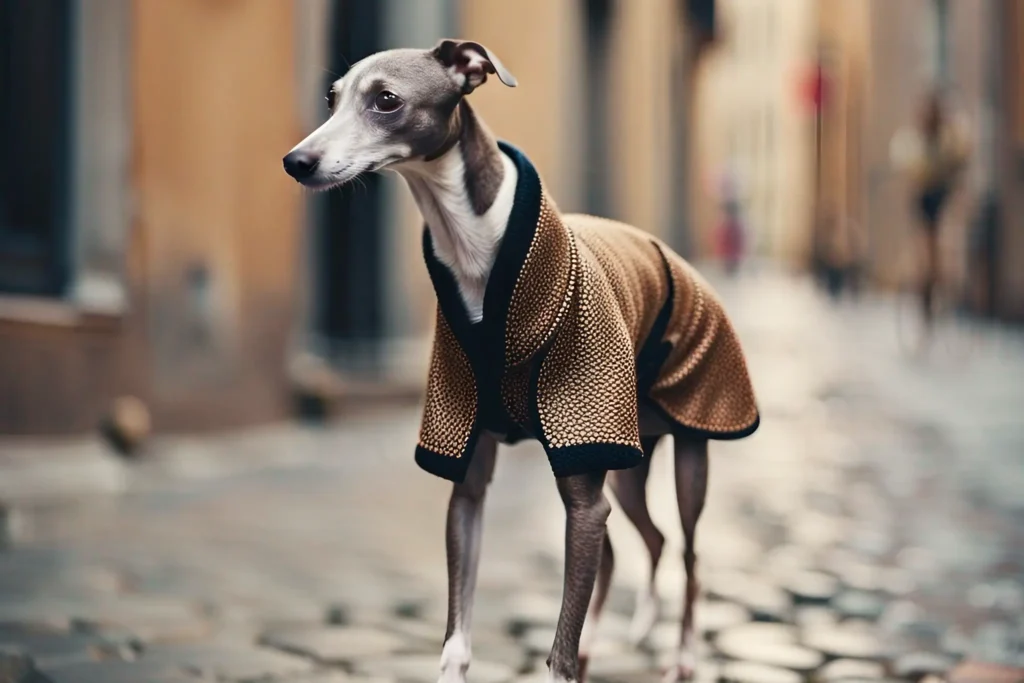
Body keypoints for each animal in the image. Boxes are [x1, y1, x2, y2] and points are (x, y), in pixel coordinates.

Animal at [282, 40, 761, 679]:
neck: (477, 254)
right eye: (331, 98)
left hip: (687, 452)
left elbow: (558, 654)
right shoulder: (468, 482)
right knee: (643, 544)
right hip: (625, 471)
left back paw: (681, 656)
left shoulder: (584, 475)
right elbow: (456, 640)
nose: (297, 161)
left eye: (386, 100)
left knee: (688, 554)